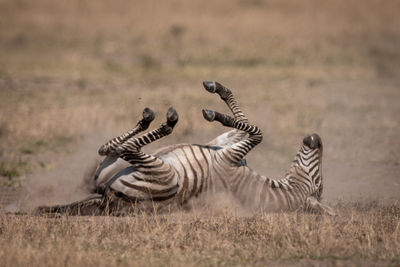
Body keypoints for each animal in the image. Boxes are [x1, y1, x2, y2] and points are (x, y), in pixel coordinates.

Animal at [36, 82, 334, 217]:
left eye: (318, 184)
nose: (317, 137)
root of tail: (107, 201)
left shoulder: (228, 157)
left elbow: (257, 132)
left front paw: (215, 110)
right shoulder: (228, 147)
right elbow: (247, 125)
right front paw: (219, 96)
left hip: (165, 177)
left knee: (126, 147)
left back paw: (162, 122)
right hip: (113, 168)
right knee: (108, 148)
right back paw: (150, 121)